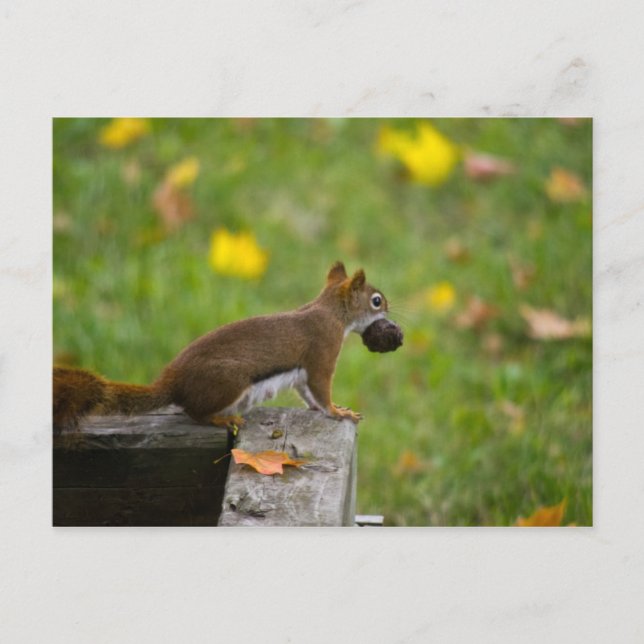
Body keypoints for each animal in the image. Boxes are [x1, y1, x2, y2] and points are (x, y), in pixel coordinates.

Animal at [53, 261, 389, 433]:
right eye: (376, 301)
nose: (390, 313)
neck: (331, 312)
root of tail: (173, 384)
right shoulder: (322, 351)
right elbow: (320, 388)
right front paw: (338, 412)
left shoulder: (304, 370)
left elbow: (307, 393)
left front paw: (328, 409)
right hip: (230, 381)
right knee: (194, 413)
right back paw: (222, 419)